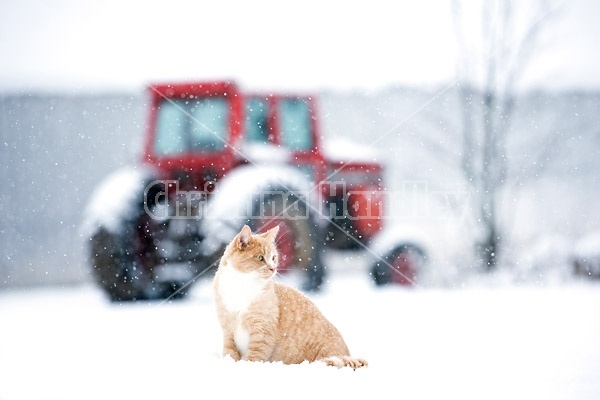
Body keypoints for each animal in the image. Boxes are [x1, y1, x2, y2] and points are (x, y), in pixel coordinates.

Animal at [213, 225, 368, 368]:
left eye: (273, 258)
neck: (242, 286)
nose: (273, 268)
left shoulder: (262, 333)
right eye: (260, 258)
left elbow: (254, 357)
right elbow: (230, 354)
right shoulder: (228, 331)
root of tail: (348, 353)